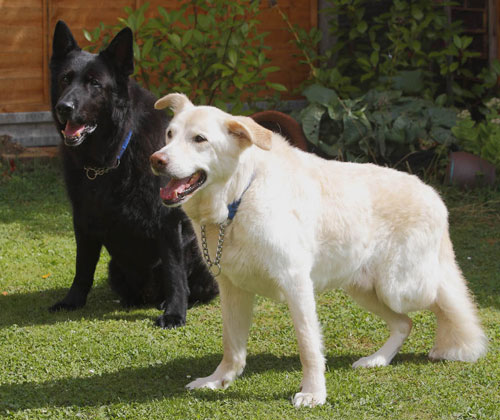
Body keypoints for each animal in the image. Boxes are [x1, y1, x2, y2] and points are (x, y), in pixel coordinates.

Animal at [49, 20, 218, 328]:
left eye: (94, 83)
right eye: (65, 79)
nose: (64, 108)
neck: (110, 157)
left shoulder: (167, 221)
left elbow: (174, 273)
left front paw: (175, 312)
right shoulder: (83, 220)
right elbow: (82, 267)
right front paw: (72, 301)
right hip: (115, 268)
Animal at [148, 93, 484, 408]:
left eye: (199, 139)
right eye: (169, 134)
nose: (156, 160)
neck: (239, 197)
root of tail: (434, 195)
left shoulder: (296, 284)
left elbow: (308, 346)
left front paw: (313, 393)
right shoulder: (233, 289)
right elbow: (232, 346)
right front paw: (218, 381)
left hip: (400, 288)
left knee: (447, 298)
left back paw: (455, 342)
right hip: (364, 289)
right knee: (406, 323)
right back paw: (376, 360)